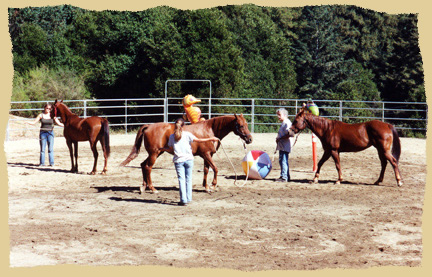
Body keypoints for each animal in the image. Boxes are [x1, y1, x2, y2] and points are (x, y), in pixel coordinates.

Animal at [120, 113, 253, 193]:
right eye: (240, 125)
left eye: (246, 124)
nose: (250, 139)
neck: (210, 130)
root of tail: (148, 126)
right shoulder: (206, 154)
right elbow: (215, 169)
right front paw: (213, 185)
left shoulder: (208, 155)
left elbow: (206, 170)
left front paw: (206, 187)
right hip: (154, 154)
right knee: (148, 167)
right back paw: (153, 188)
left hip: (156, 153)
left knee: (143, 165)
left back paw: (144, 186)